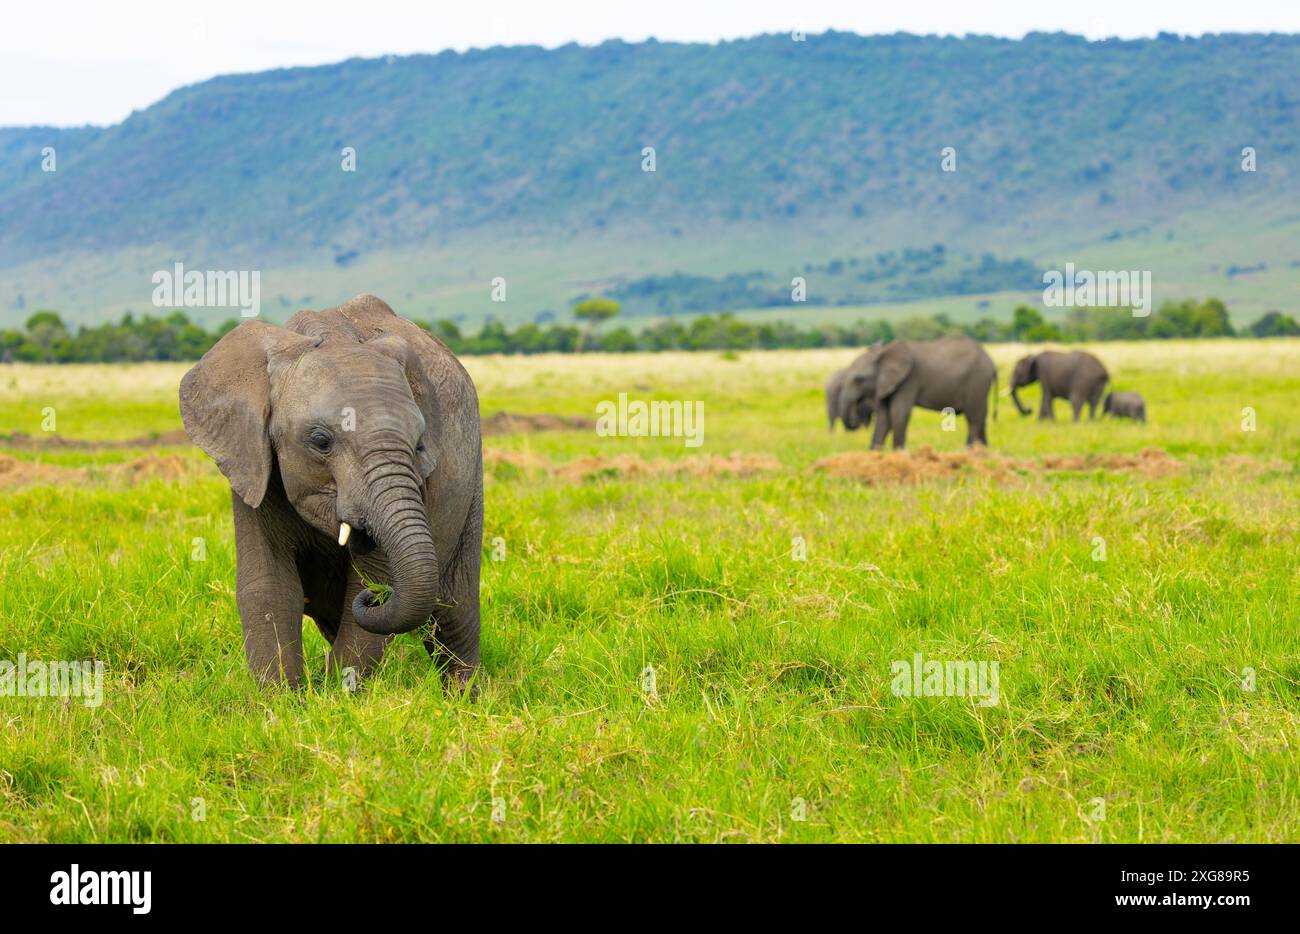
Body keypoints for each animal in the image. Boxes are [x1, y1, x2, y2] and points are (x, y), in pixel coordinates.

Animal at [179, 294, 484, 691]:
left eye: (420, 445)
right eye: (321, 441)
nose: (376, 601)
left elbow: (373, 582)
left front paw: (336, 695)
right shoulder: (252, 463)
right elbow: (269, 586)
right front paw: (282, 701)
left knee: (453, 613)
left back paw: (463, 699)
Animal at [837, 335, 997, 449]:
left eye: (859, 379)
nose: (855, 420)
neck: (885, 353)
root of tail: (991, 362)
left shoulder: (909, 380)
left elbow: (898, 413)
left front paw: (899, 454)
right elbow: (884, 417)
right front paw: (875, 456)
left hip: (977, 380)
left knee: (973, 418)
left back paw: (968, 452)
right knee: (981, 417)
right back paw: (983, 453)